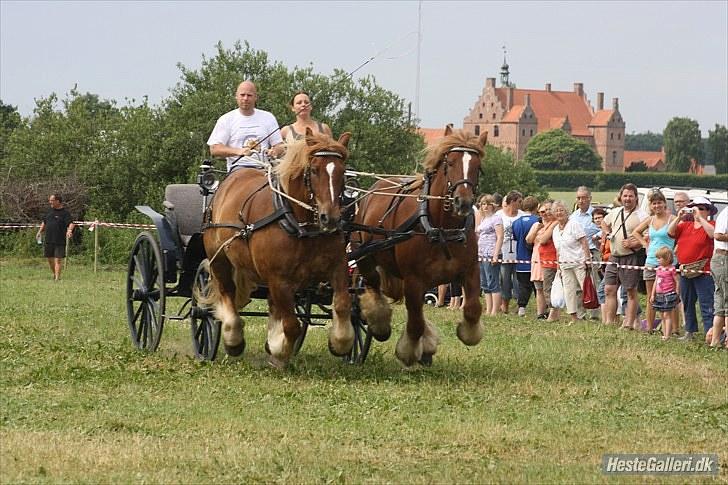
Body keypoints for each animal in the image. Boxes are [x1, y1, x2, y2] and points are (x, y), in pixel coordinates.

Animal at [202, 130, 352, 364]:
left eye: (343, 172)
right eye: (314, 170)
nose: (331, 218)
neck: (302, 226)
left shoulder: (337, 267)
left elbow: (343, 304)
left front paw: (340, 342)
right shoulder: (278, 279)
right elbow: (292, 325)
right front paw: (280, 351)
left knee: (272, 306)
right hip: (219, 260)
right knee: (227, 293)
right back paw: (233, 338)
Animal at [354, 126, 490, 364]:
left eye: (477, 167)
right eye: (449, 163)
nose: (463, 203)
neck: (442, 229)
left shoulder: (471, 270)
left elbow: (472, 308)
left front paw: (466, 333)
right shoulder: (413, 280)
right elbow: (415, 322)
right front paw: (408, 350)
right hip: (365, 258)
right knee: (373, 286)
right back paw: (378, 324)